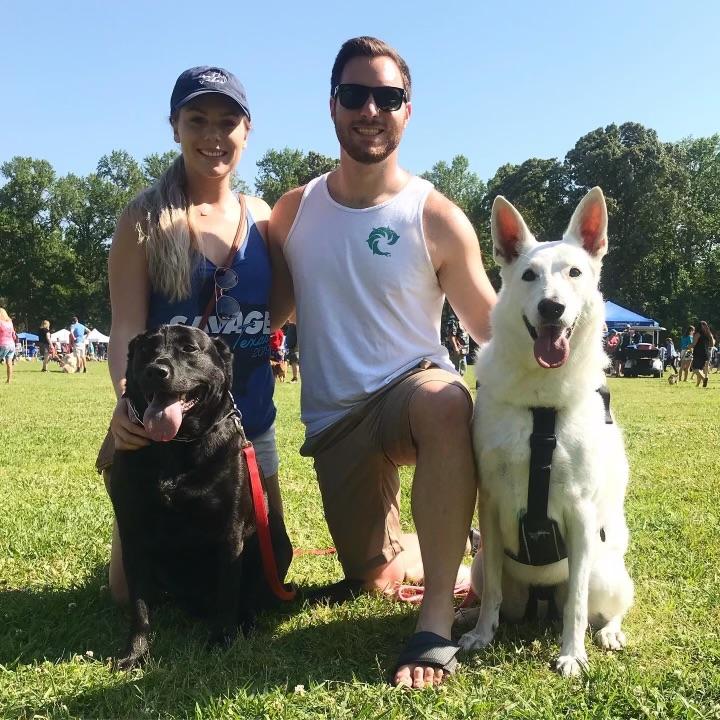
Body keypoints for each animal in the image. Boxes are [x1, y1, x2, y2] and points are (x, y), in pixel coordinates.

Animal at [107, 326, 292, 668]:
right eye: (147, 349)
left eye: (190, 349)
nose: (156, 371)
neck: (175, 446)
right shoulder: (133, 534)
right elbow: (139, 606)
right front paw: (135, 652)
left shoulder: (230, 535)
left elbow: (228, 594)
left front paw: (221, 640)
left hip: (276, 542)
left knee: (250, 597)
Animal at [458, 184, 632, 676]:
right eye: (529, 275)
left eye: (574, 272)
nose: (551, 307)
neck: (541, 401)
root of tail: (540, 605)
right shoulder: (490, 504)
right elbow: (494, 594)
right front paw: (481, 633)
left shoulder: (580, 513)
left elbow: (576, 604)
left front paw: (572, 654)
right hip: (481, 565)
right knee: (496, 592)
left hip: (605, 570)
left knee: (605, 604)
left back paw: (608, 632)